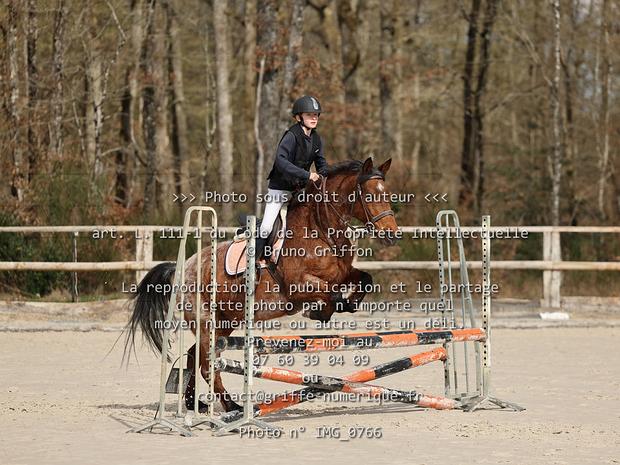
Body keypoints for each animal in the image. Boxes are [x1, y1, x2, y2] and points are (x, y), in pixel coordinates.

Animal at [124, 157, 400, 412]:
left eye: (387, 194)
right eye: (369, 195)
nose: (392, 235)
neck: (321, 230)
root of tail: (181, 268)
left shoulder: (343, 274)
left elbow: (365, 280)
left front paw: (345, 305)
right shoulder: (299, 287)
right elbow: (330, 296)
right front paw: (319, 312)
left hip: (225, 323)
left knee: (196, 357)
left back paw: (196, 404)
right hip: (206, 321)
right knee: (206, 365)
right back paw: (232, 407)